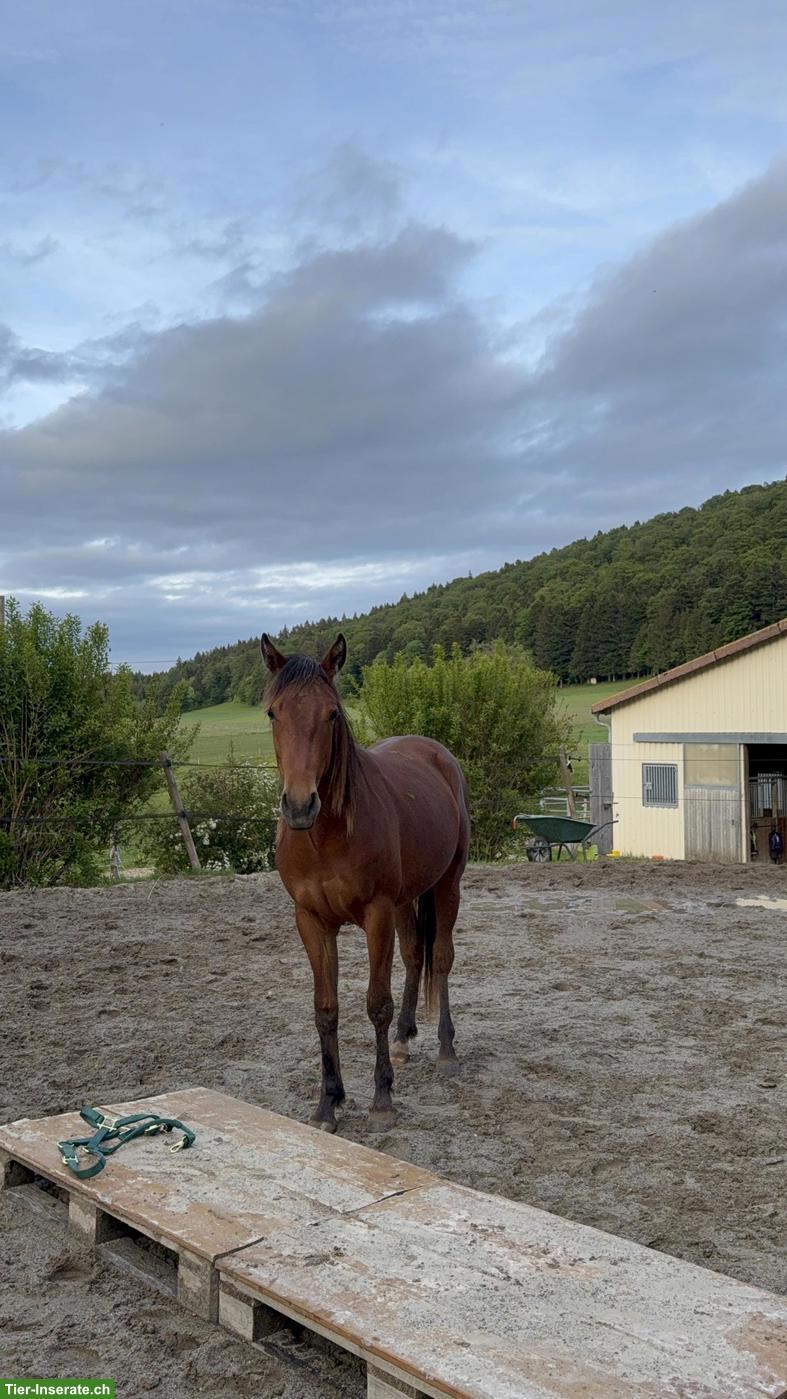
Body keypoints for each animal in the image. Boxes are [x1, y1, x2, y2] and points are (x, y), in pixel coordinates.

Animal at [261, 631, 470, 1132]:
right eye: (273, 712)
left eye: (332, 714)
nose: (300, 805)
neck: (325, 837)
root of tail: (437, 754)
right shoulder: (312, 921)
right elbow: (326, 1009)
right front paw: (328, 1103)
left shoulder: (376, 915)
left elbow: (376, 1003)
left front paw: (381, 1100)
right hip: (405, 900)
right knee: (415, 955)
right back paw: (404, 1040)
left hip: (447, 884)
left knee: (441, 958)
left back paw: (446, 1050)